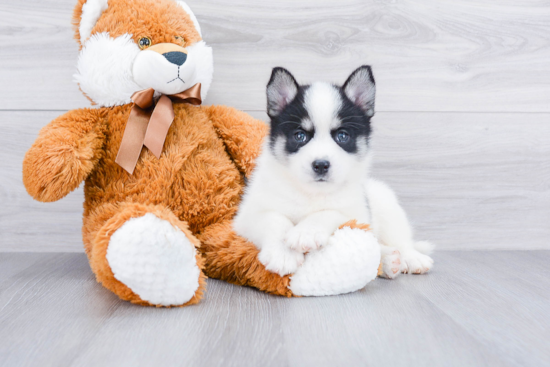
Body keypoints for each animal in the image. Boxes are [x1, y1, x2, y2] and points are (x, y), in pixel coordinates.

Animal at [233, 67, 436, 278]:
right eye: (300, 135)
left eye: (342, 136)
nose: (321, 165)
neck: (312, 193)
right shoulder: (247, 216)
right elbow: (274, 219)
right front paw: (282, 253)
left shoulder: (357, 214)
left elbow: (330, 212)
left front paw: (307, 232)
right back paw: (390, 260)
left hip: (385, 203)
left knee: (400, 239)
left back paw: (410, 257)